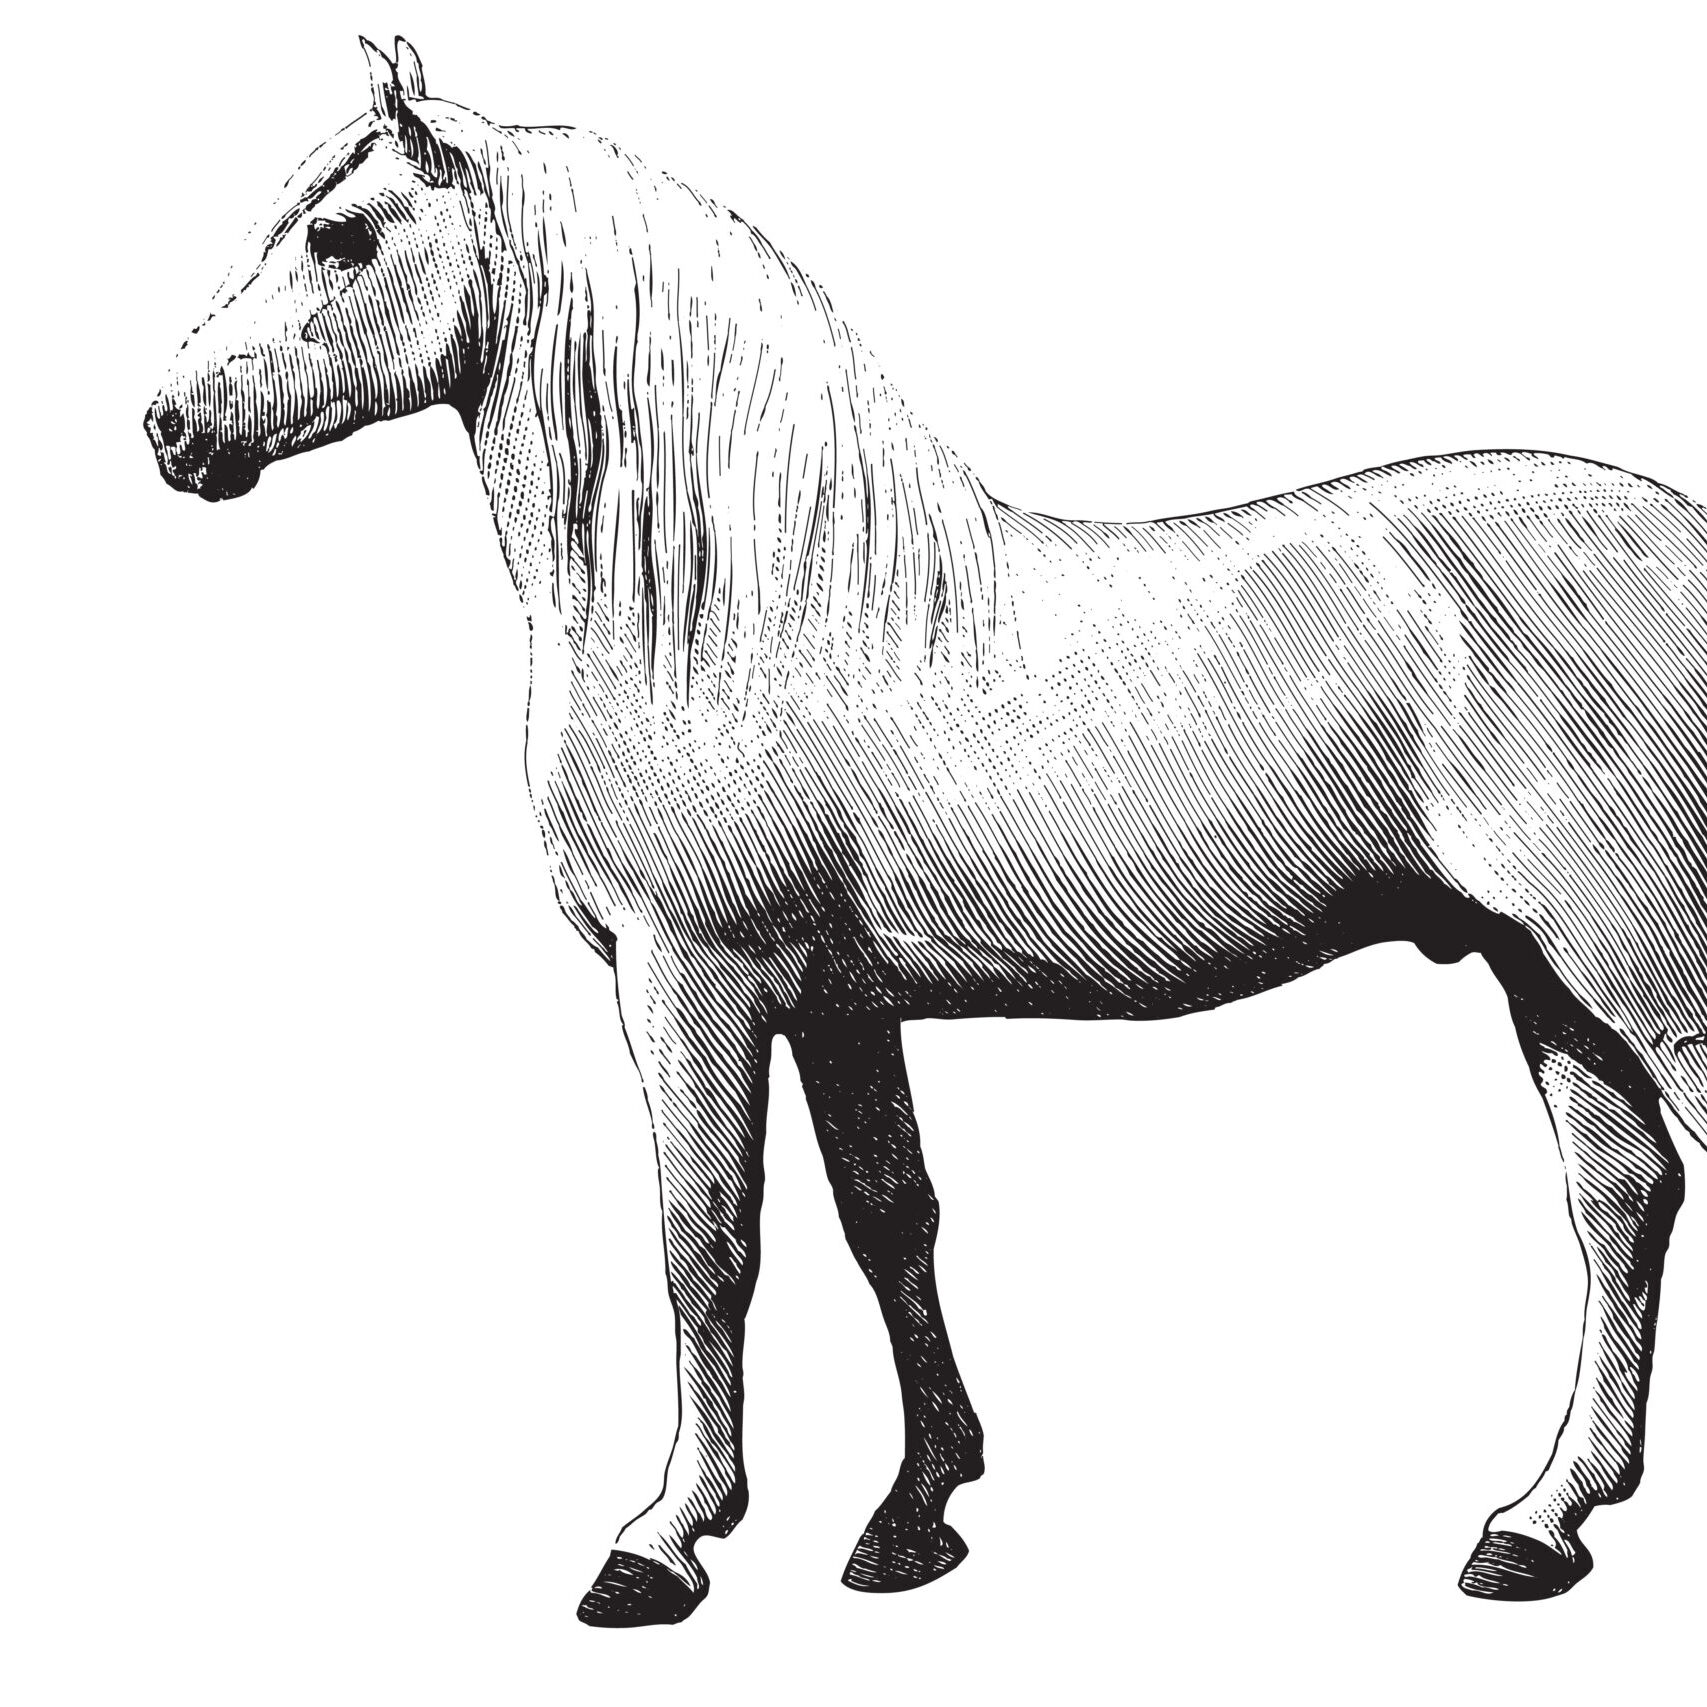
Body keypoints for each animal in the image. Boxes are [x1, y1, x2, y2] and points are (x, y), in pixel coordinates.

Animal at [145, 36, 1707, 1626]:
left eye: (343, 236)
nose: (170, 428)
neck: (745, 607)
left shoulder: (690, 981)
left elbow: (706, 1245)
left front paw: (665, 1538)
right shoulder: (840, 1003)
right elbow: (889, 1217)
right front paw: (916, 1510)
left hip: (1640, 975)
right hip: (1546, 978)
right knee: (1619, 1199)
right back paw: (1538, 1521)